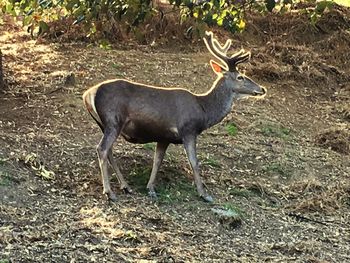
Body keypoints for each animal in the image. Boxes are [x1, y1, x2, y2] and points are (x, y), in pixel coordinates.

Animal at [82, 32, 266, 203]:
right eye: (240, 77)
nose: (262, 89)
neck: (204, 111)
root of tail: (87, 94)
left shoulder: (164, 137)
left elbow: (157, 161)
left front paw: (150, 188)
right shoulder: (188, 129)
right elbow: (194, 162)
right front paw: (204, 194)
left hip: (104, 124)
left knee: (109, 151)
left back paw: (126, 186)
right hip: (113, 119)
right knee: (102, 149)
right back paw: (109, 192)